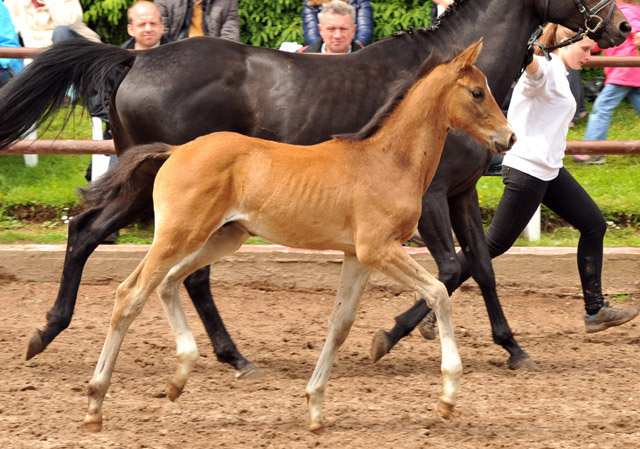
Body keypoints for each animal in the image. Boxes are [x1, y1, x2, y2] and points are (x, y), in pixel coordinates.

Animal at [84, 40, 516, 432]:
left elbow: (340, 324)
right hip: (179, 235)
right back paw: (95, 403)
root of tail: (174, 151)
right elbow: (439, 292)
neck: (388, 160)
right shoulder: (380, 249)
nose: (509, 138)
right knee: (130, 293)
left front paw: (315, 407)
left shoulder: (358, 256)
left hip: (221, 237)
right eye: (477, 92)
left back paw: (180, 377)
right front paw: (448, 396)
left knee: (170, 282)